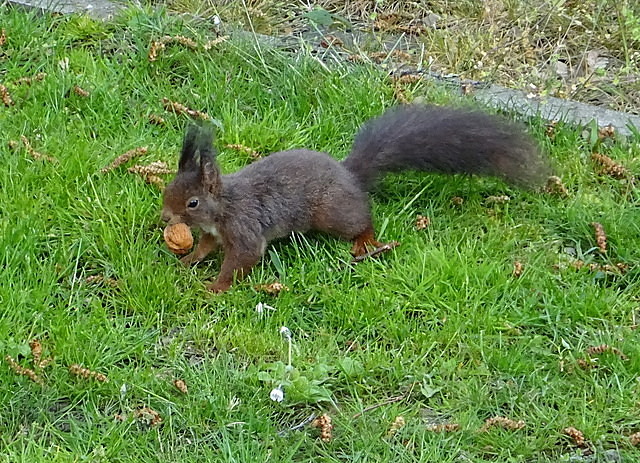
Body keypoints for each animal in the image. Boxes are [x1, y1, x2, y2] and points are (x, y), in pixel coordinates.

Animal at [161, 104, 550, 292]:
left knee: (362, 220)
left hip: (333, 213)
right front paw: (186, 262)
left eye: (193, 202)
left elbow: (241, 259)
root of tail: (349, 174)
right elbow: (204, 248)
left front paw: (216, 287)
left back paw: (366, 241)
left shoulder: (244, 230)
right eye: (167, 190)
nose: (165, 218)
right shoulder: (213, 234)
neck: (223, 207)